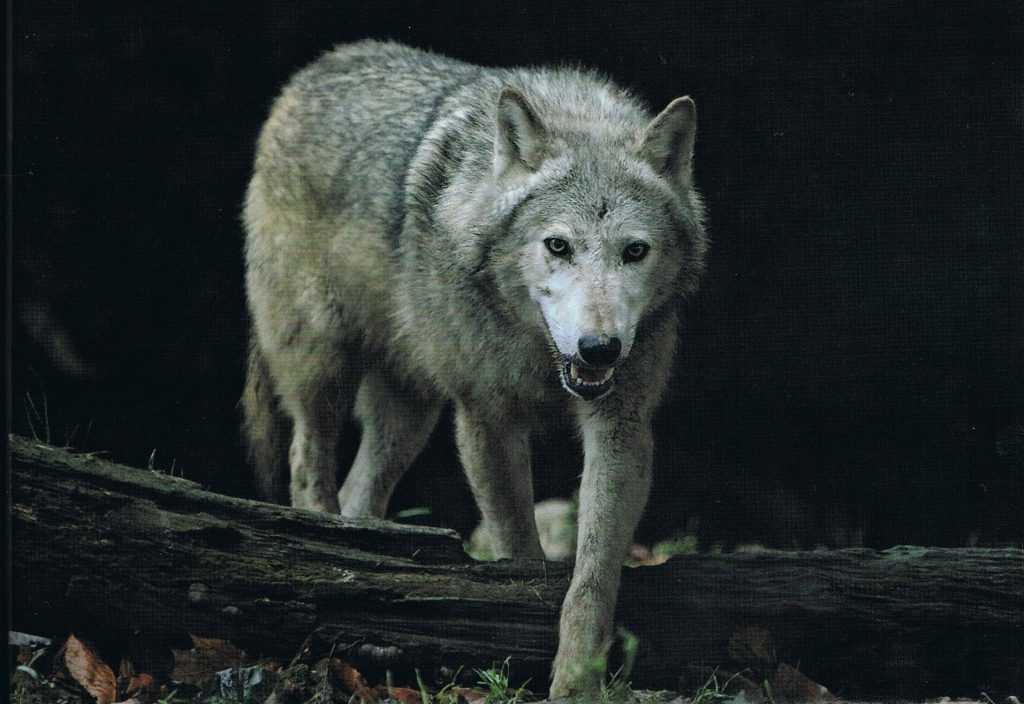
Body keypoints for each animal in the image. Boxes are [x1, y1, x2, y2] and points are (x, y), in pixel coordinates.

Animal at [241, 40, 707, 696]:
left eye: (635, 251)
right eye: (557, 246)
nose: (599, 348)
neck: (541, 355)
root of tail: (313, 72)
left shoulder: (622, 425)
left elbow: (592, 576)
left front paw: (576, 683)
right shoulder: (486, 417)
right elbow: (521, 551)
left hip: (409, 414)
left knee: (362, 489)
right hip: (322, 366)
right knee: (307, 461)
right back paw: (321, 549)